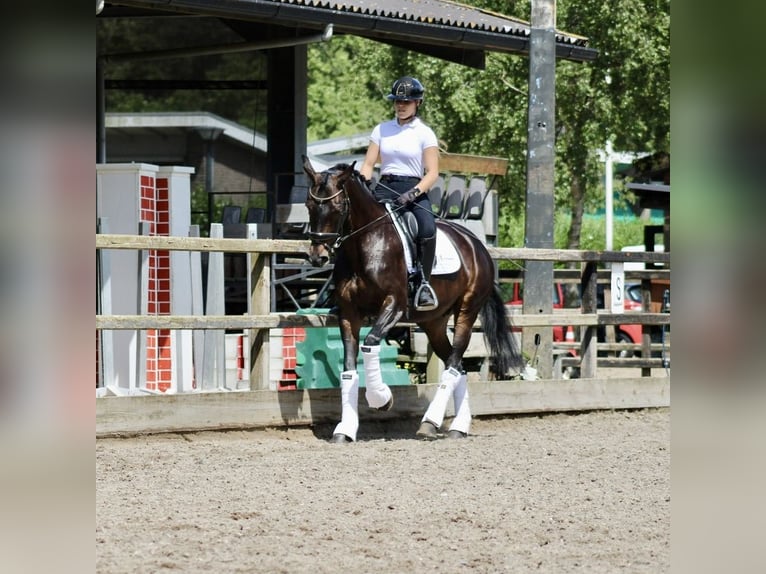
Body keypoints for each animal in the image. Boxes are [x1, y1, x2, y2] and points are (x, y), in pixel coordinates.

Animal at [304, 155, 524, 444]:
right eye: (309, 205)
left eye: (338, 206)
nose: (317, 256)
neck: (366, 245)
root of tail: (476, 244)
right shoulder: (349, 313)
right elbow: (348, 368)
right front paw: (345, 430)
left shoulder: (394, 305)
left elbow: (370, 344)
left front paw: (381, 398)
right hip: (434, 322)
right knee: (458, 365)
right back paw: (458, 426)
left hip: (467, 310)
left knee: (454, 363)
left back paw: (431, 422)